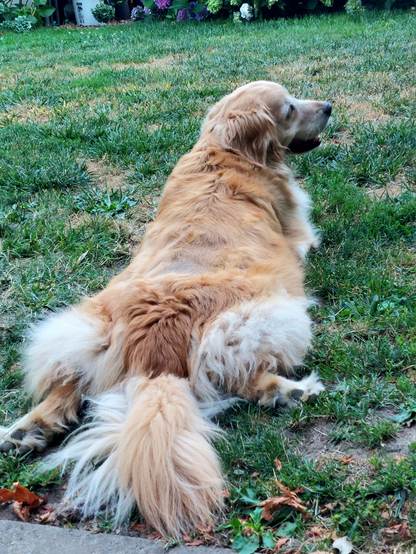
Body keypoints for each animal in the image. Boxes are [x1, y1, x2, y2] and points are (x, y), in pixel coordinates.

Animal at [0, 81, 332, 536]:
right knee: (237, 379)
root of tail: (156, 360)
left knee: (70, 386)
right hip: (269, 319)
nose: (329, 107)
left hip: (81, 331)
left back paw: (26, 430)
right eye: (289, 109)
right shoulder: (301, 236)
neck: (224, 151)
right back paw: (289, 392)